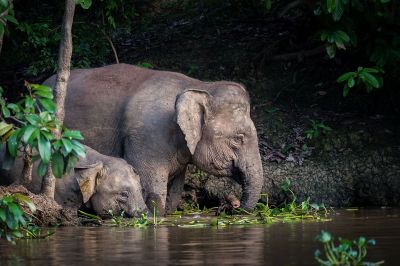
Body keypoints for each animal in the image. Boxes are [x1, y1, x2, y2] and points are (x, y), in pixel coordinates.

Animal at [44, 63, 262, 215]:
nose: (233, 206)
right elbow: (152, 190)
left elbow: (174, 193)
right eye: (238, 138)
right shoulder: (147, 137)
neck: (200, 85)